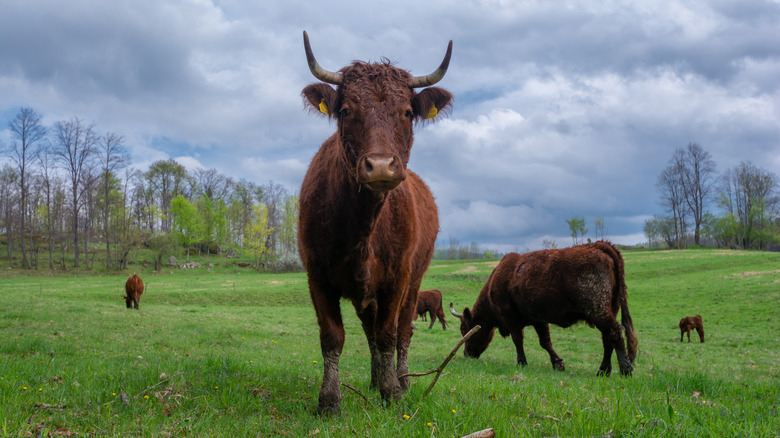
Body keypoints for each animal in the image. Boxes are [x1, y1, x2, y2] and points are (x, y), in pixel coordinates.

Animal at [300, 30, 458, 414]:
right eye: (346, 110)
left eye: (407, 112)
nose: (382, 166)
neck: (363, 226)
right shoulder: (317, 273)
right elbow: (333, 336)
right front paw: (329, 399)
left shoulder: (397, 277)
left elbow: (389, 334)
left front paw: (392, 392)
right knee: (369, 330)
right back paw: (375, 380)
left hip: (416, 282)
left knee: (403, 332)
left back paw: (400, 380)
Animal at [450, 241, 640, 374]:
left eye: (465, 330)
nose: (467, 354)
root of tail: (600, 245)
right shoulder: (538, 319)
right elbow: (545, 341)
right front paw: (558, 363)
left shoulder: (511, 318)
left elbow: (518, 340)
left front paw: (521, 362)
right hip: (609, 309)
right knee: (608, 338)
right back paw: (603, 370)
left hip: (597, 310)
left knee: (614, 332)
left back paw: (624, 369)